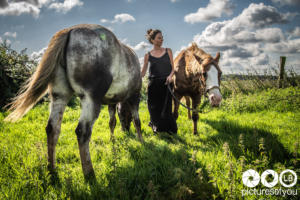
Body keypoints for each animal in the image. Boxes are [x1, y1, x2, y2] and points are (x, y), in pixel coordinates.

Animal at [4, 23, 143, 180]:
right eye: (124, 115)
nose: (125, 130)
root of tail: (69, 31)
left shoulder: (111, 102)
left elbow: (112, 122)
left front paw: (113, 140)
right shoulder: (135, 96)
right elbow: (137, 121)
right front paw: (142, 141)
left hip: (59, 96)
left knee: (52, 129)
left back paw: (52, 169)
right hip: (90, 99)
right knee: (82, 132)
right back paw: (89, 174)